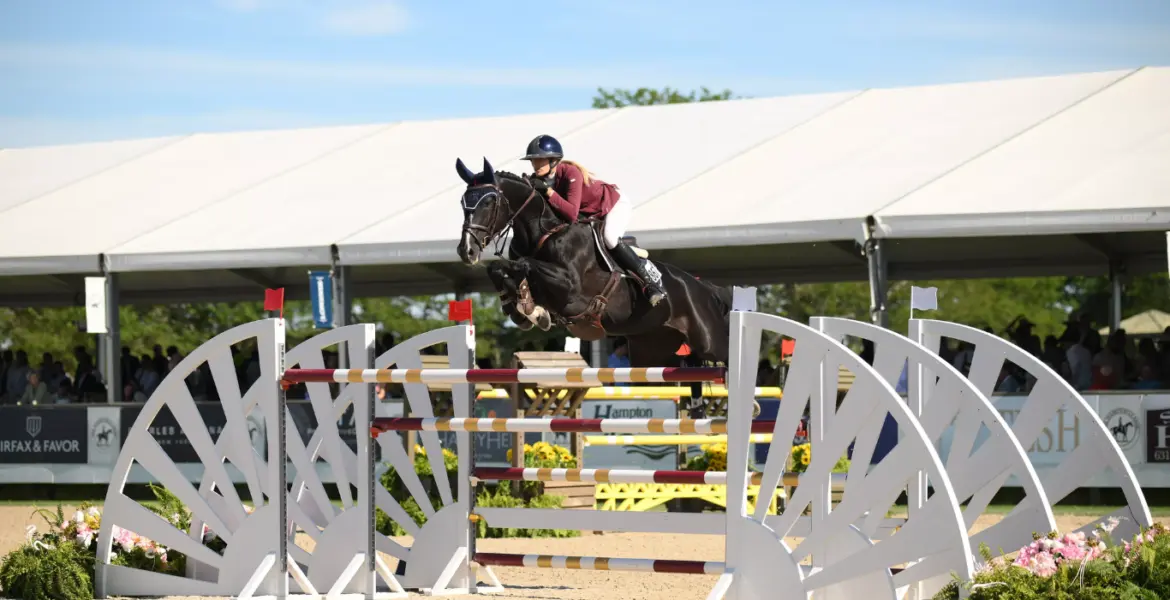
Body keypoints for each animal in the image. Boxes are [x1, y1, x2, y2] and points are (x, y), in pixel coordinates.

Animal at [453, 157, 734, 373]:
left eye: (488, 202)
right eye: (462, 202)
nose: (466, 251)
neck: (543, 231)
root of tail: (705, 288)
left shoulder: (570, 289)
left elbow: (524, 264)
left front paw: (532, 310)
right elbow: (499, 268)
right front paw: (524, 309)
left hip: (709, 340)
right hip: (652, 349)